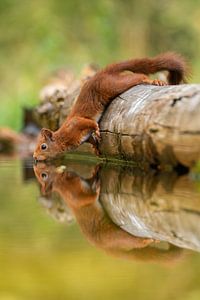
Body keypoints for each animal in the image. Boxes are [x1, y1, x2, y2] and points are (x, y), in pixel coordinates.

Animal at [32, 54, 186, 162]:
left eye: (43, 146)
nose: (34, 157)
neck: (64, 136)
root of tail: (103, 72)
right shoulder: (84, 137)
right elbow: (91, 140)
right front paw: (96, 148)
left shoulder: (77, 123)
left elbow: (90, 122)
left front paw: (97, 130)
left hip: (112, 85)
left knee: (137, 76)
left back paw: (154, 81)